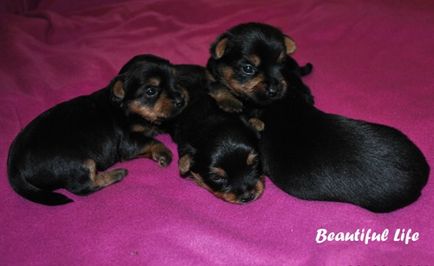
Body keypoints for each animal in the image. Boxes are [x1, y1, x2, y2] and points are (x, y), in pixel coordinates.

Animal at [7, 54, 186, 206]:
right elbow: (151, 141)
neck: (124, 105)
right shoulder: (128, 143)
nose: (181, 100)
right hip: (79, 162)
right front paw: (164, 153)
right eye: (151, 91)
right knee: (82, 187)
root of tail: (13, 167)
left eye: (176, 82)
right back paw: (117, 173)